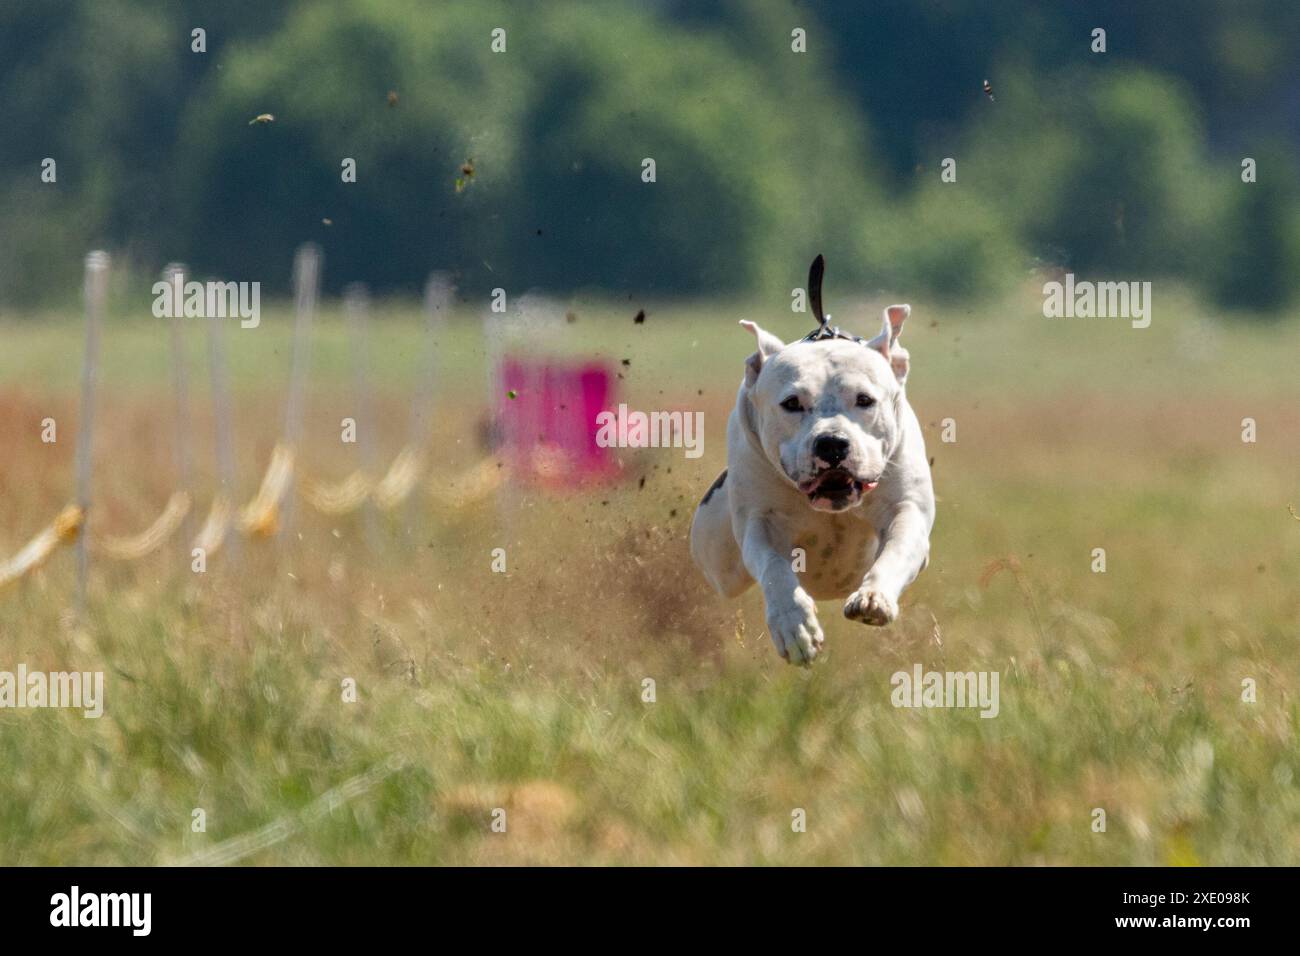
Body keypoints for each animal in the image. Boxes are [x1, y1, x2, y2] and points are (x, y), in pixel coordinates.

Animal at [691, 257, 935, 671]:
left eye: (865, 400)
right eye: (792, 403)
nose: (832, 443)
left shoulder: (908, 510)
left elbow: (897, 550)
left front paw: (874, 597)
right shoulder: (760, 524)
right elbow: (775, 570)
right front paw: (794, 626)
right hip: (716, 555)